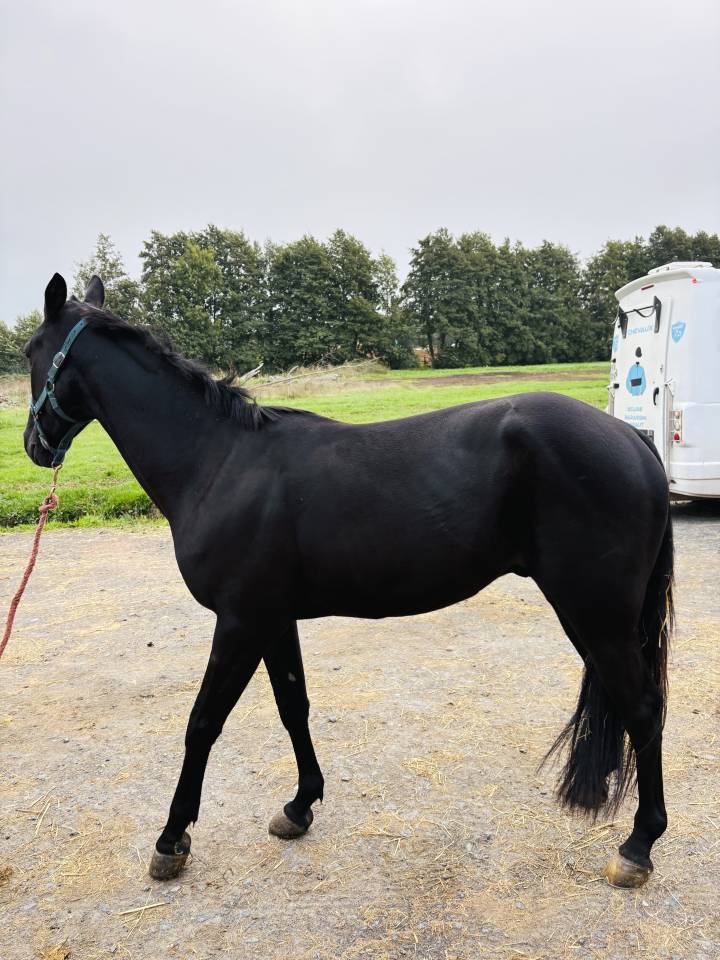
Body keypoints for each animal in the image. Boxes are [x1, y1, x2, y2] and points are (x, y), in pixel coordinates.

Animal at [22, 273, 673, 889]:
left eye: (30, 350)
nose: (33, 446)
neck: (219, 462)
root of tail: (632, 442)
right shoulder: (273, 620)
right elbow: (294, 707)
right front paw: (299, 806)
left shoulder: (239, 622)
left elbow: (202, 723)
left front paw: (172, 839)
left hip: (596, 615)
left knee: (643, 710)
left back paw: (637, 847)